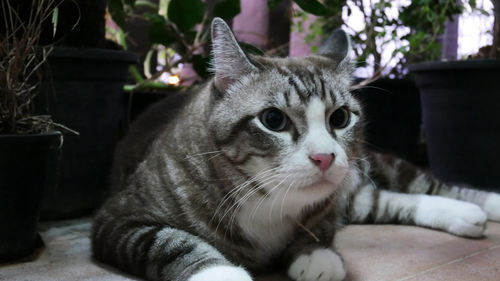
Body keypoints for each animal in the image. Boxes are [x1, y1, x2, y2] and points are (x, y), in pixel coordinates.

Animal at [91, 18, 500, 280]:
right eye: (273, 120)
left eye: (340, 118)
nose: (325, 157)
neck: (267, 196)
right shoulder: (118, 219)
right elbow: (169, 242)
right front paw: (220, 273)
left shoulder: (328, 203)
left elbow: (319, 227)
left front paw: (314, 253)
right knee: (386, 200)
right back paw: (465, 215)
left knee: (416, 187)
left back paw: (484, 205)